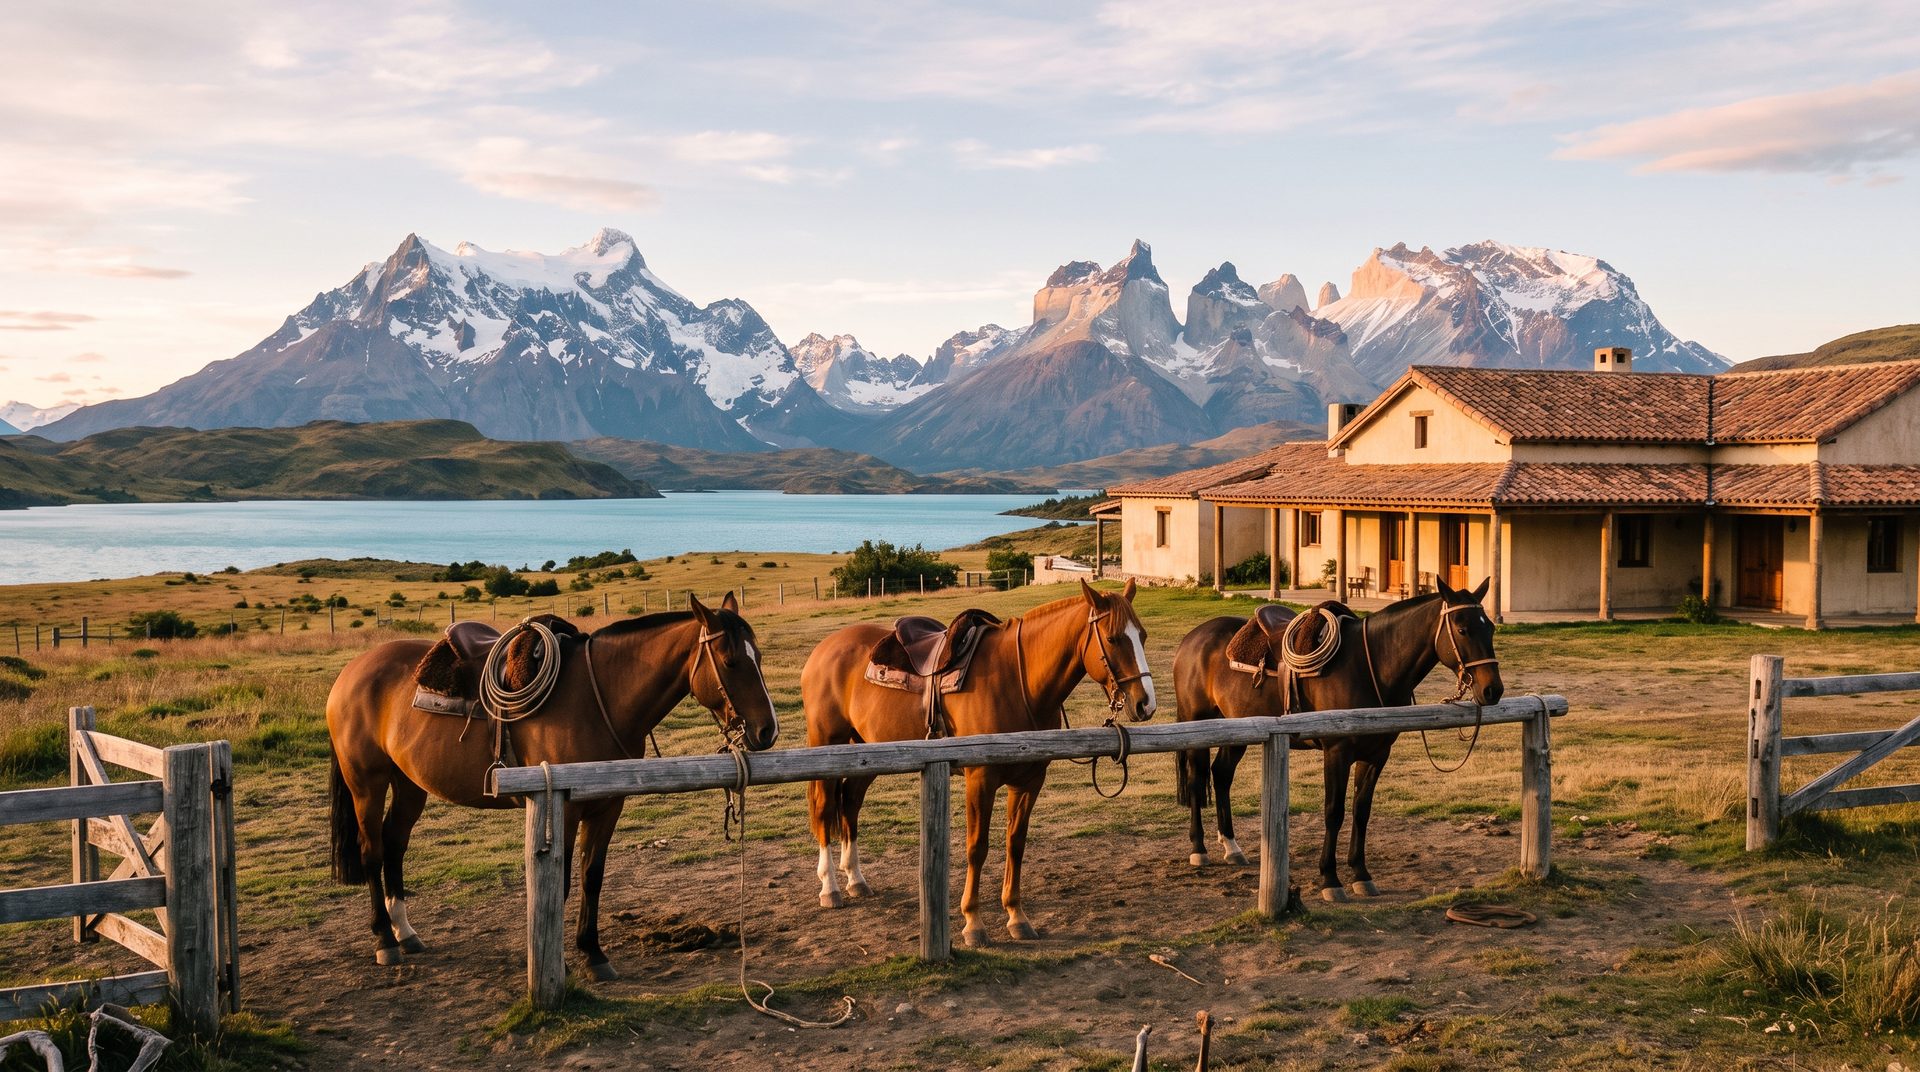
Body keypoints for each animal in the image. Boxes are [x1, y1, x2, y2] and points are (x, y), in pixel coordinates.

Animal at [325, 593, 779, 975]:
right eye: (731, 661)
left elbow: (592, 874)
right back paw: (385, 941)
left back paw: (405, 931)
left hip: (408, 783)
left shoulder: (608, 805)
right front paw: (558, 961)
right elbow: (558, 883)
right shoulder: (563, 805)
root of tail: (351, 671)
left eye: (758, 657)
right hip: (367, 783)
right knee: (372, 850)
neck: (599, 697)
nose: (766, 731)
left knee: (394, 843)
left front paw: (593, 953)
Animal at [802, 580, 1156, 947]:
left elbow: (1016, 844)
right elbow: (977, 847)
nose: (1145, 704)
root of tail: (823, 649)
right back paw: (830, 887)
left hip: (866, 751)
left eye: (1142, 635)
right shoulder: (980, 780)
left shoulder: (1028, 783)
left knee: (850, 801)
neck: (1017, 680)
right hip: (827, 744)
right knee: (825, 807)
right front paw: (973, 922)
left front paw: (1017, 916)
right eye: (1113, 638)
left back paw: (855, 879)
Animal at [1172, 577, 1502, 901]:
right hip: (1197, 723)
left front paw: (1361, 874)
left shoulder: (1377, 755)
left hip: (1237, 727)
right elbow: (1334, 812)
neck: (1370, 665)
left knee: (1221, 774)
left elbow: (1361, 811)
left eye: (1490, 627)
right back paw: (1199, 849)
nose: (1493, 690)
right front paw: (1330, 879)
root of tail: (1191, 639)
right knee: (1196, 779)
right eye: (1462, 629)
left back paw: (1231, 846)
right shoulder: (1336, 752)